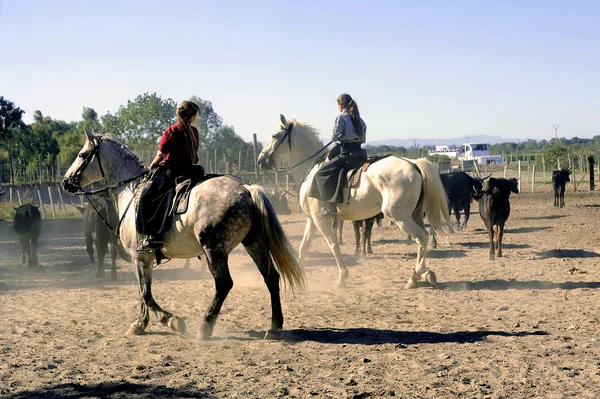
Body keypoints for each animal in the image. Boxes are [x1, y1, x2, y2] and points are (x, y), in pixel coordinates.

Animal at [63, 129, 304, 340]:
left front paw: (171, 321)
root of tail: (246, 189)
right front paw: (141, 324)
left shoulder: (139, 256)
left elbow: (146, 293)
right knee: (271, 278)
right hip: (254, 243)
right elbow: (142, 291)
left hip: (214, 249)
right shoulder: (141, 258)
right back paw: (273, 327)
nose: (66, 181)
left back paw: (205, 327)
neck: (131, 190)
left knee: (224, 284)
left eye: (82, 155)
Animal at [256, 115, 450, 288]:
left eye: (275, 135)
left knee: (422, 237)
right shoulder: (312, 219)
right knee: (424, 238)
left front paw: (342, 277)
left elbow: (333, 244)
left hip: (399, 216)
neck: (312, 169)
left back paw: (414, 278)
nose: (260, 160)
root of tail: (413, 164)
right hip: (415, 214)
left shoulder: (320, 218)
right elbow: (304, 247)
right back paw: (425, 272)